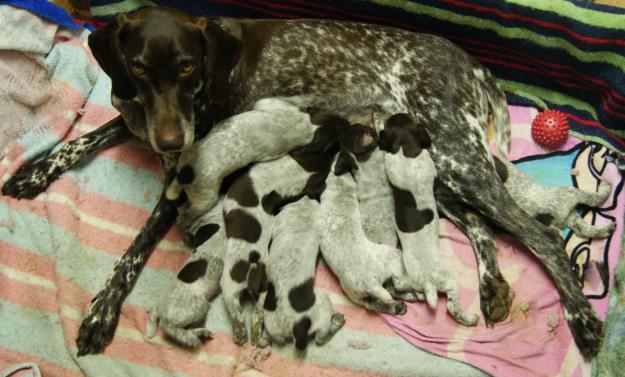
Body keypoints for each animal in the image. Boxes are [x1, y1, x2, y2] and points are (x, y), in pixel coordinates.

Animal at [260, 197, 344, 350]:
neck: (303, 213)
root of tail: (295, 328)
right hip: (322, 301)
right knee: (320, 337)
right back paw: (337, 321)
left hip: (273, 323)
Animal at [380, 113, 478, 324]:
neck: (404, 147)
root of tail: (427, 283)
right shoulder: (428, 164)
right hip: (449, 281)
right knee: (451, 307)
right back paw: (469, 319)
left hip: (411, 278)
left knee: (399, 283)